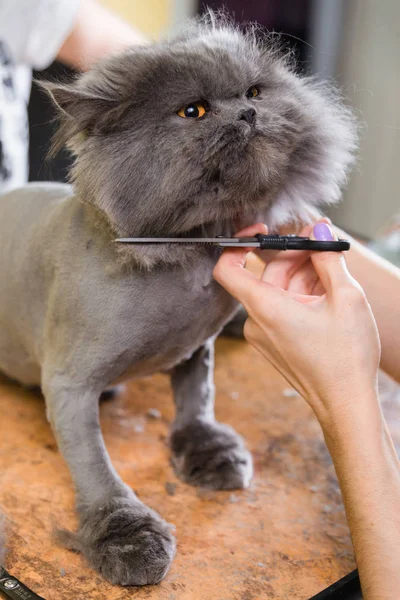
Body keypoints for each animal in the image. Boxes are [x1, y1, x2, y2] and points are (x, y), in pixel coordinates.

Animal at [0, 12, 356, 584]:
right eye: (195, 111)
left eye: (254, 92)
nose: (249, 112)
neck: (188, 256)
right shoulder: (69, 384)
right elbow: (95, 468)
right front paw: (126, 536)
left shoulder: (196, 345)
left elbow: (196, 400)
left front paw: (207, 451)